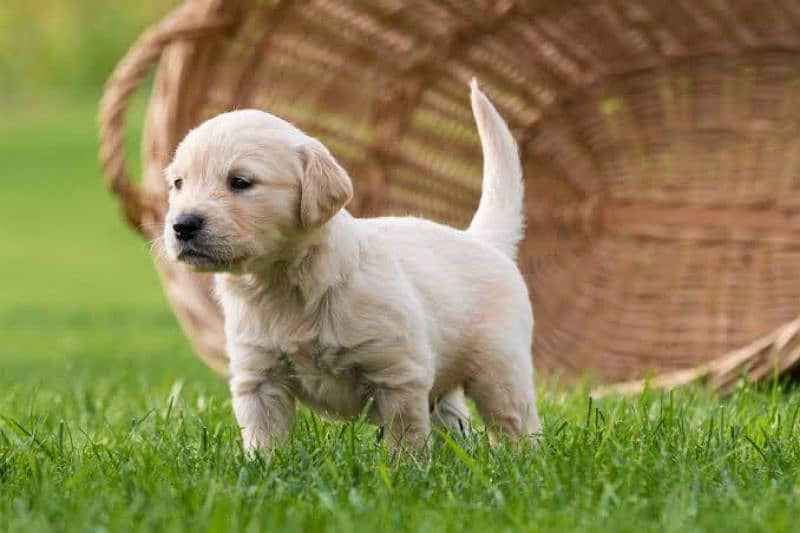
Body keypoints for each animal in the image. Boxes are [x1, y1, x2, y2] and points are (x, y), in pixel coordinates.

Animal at [162, 81, 540, 450]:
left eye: (240, 182)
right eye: (178, 183)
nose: (182, 225)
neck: (284, 283)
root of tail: (482, 240)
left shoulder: (398, 374)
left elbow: (405, 439)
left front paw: (404, 469)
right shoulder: (258, 377)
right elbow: (264, 439)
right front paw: (263, 466)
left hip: (500, 369)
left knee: (516, 424)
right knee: (459, 426)